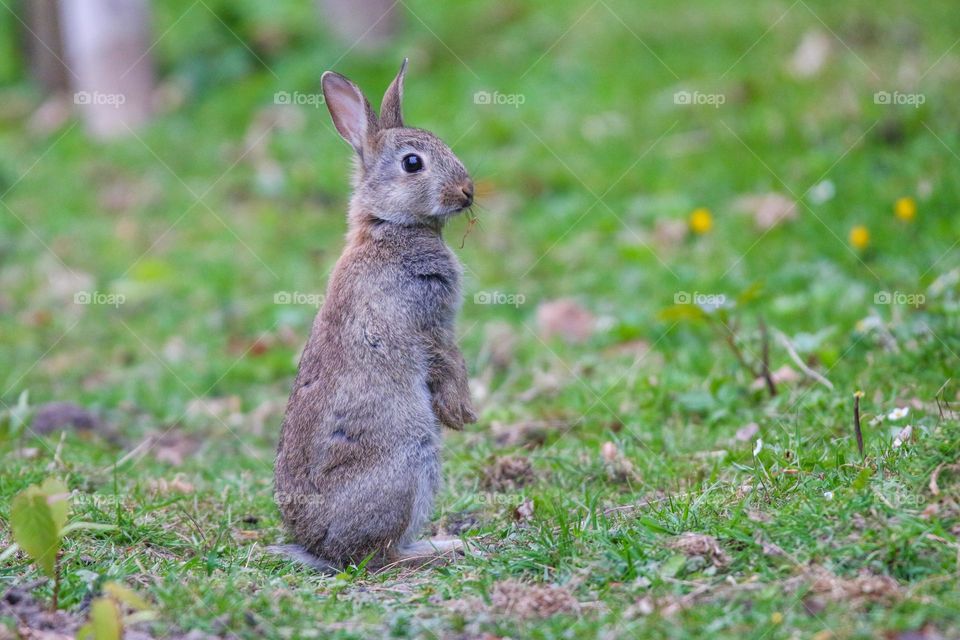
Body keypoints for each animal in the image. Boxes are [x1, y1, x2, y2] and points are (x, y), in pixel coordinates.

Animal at [272, 57, 478, 572]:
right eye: (413, 163)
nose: (467, 191)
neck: (389, 227)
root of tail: (318, 545)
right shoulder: (426, 326)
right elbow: (448, 362)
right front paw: (462, 413)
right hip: (409, 459)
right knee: (378, 555)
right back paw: (440, 549)